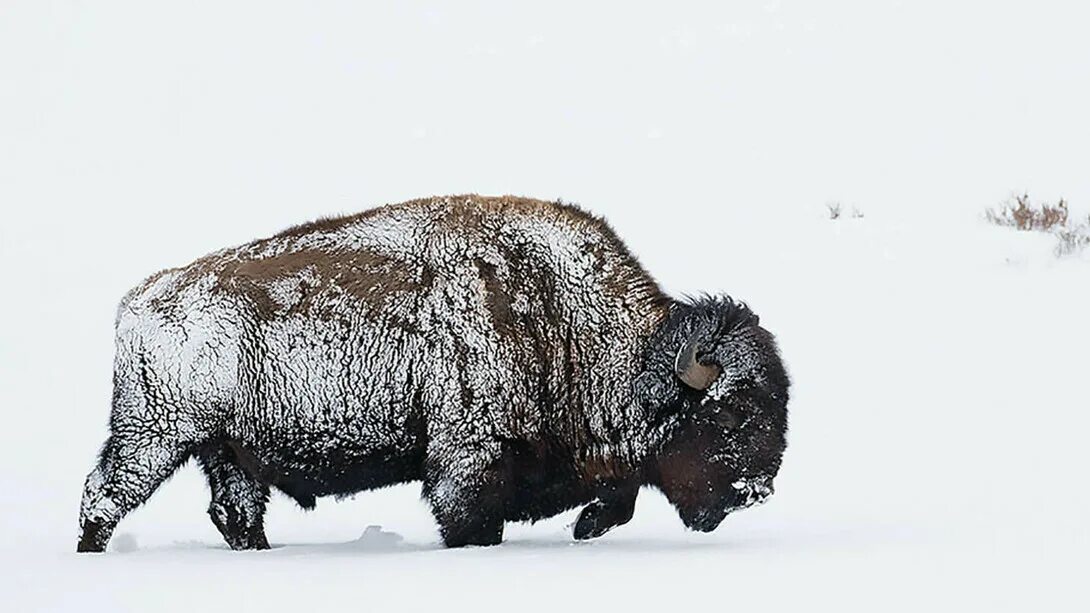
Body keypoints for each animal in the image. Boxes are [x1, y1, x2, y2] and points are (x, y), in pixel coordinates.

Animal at [79, 194, 793, 549]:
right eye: (732, 411)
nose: (756, 491)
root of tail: (141, 297)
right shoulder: (468, 458)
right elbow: (473, 523)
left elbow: (620, 497)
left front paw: (584, 529)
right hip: (154, 437)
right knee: (102, 497)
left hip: (226, 451)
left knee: (236, 513)